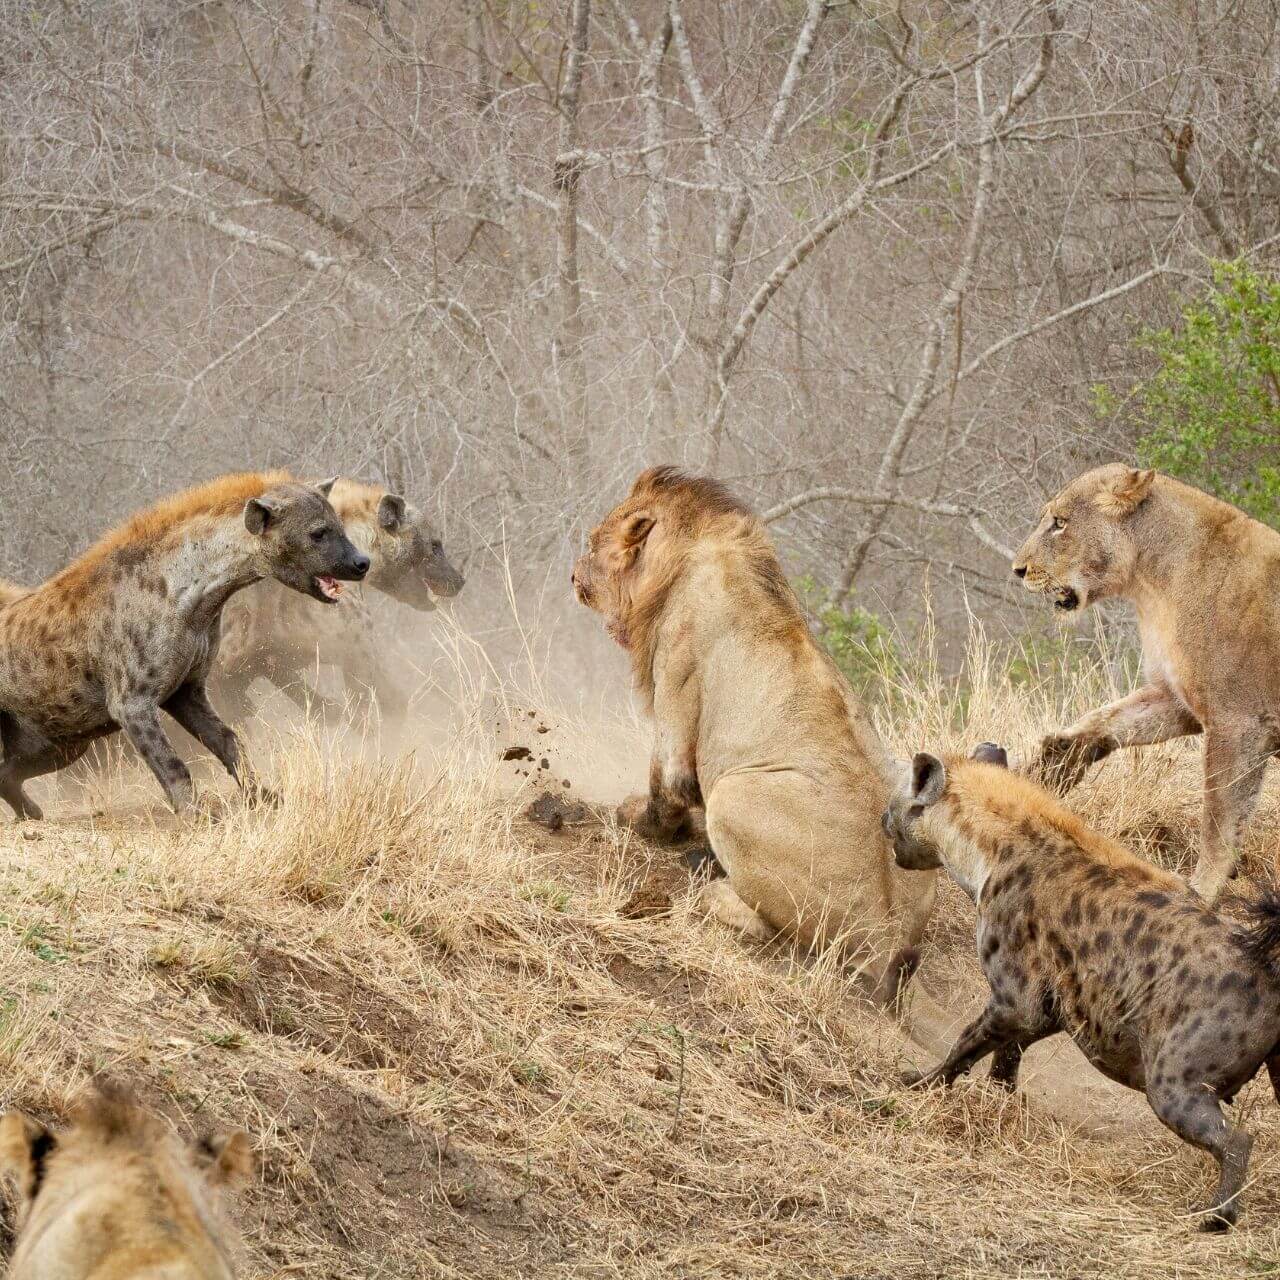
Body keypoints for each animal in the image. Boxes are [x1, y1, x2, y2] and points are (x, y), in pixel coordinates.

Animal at [572, 467, 936, 1003]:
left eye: (593, 541)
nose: (573, 575)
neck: (684, 556)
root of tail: (888, 939)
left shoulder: (675, 687)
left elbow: (666, 787)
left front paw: (641, 820)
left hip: (735, 795)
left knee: (770, 928)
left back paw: (710, 881)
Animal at [1013, 463, 1280, 901]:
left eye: (1059, 523)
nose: (1018, 570)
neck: (1152, 583)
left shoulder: (1238, 722)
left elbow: (1220, 816)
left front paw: (1200, 892)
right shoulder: (1176, 699)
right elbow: (1109, 719)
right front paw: (1058, 760)